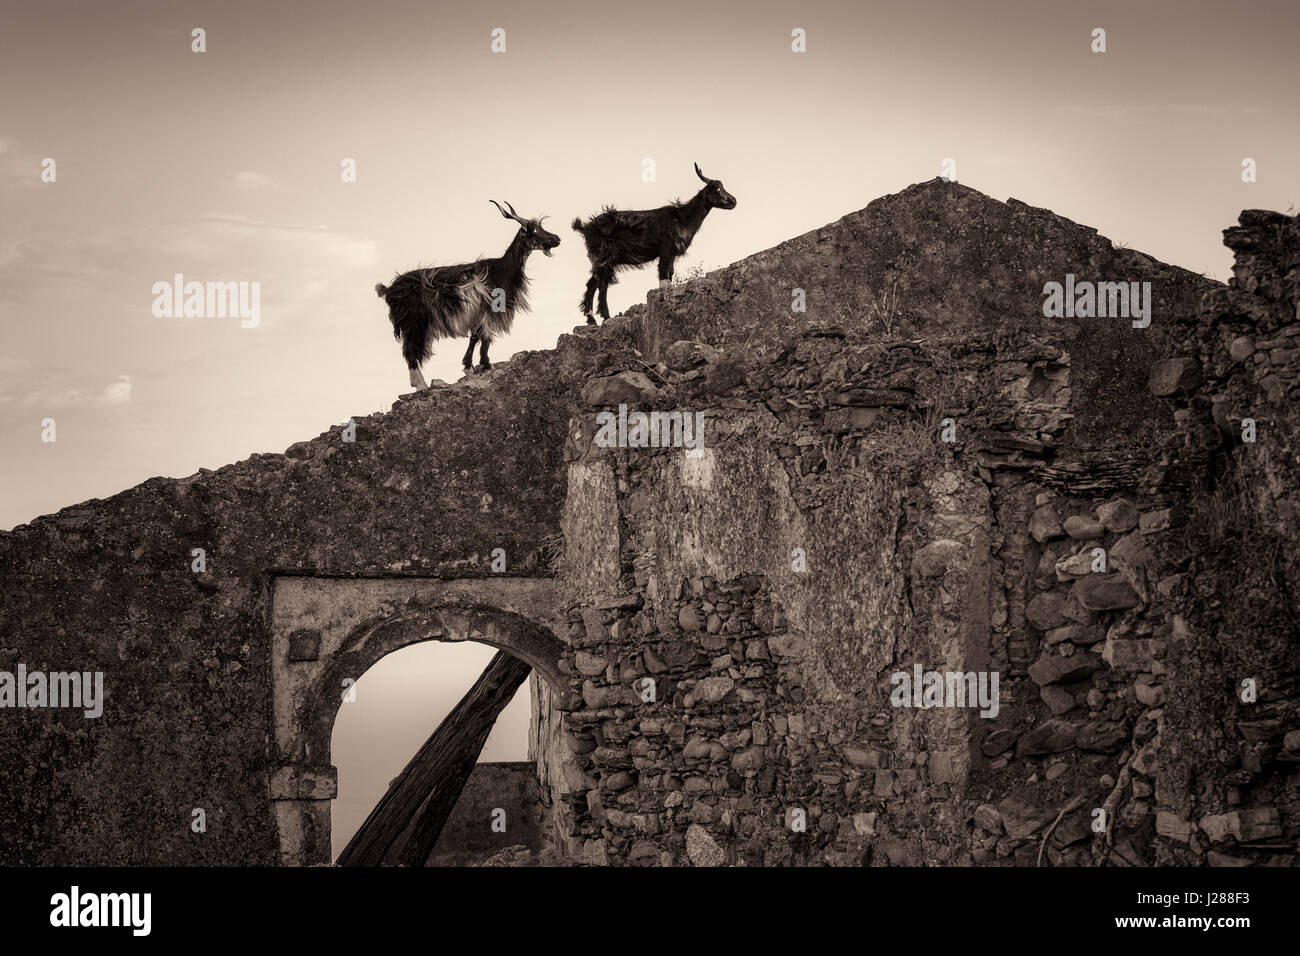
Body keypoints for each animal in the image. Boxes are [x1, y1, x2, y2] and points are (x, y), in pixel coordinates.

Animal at [374, 200, 561, 387]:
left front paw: (474, 365)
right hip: (413, 321)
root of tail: (389, 289)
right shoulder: (487, 309)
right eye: (534, 230)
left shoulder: (480, 312)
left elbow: (478, 337)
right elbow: (481, 337)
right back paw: (420, 384)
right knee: (410, 350)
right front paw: (480, 364)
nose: (557, 239)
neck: (502, 270)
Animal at [574, 163, 738, 325]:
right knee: (600, 285)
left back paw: (594, 319)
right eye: (717, 188)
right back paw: (603, 317)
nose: (734, 201)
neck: (681, 218)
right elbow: (663, 275)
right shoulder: (666, 249)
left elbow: (670, 275)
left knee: (594, 283)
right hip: (604, 256)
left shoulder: (672, 253)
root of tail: (585, 228)